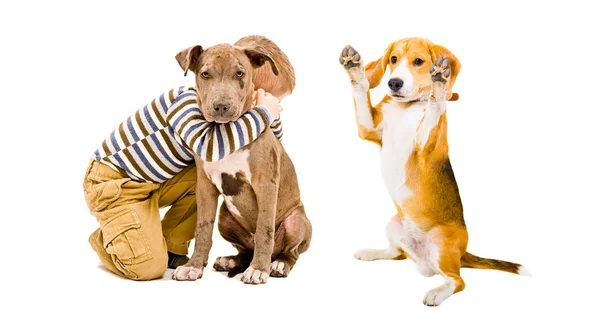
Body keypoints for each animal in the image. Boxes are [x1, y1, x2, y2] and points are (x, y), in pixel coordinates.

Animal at [340, 38, 528, 306]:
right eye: (393, 59)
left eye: (419, 61)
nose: (393, 83)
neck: (407, 107)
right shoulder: (369, 128)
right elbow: (361, 90)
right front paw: (355, 69)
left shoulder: (423, 146)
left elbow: (433, 108)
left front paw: (439, 85)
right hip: (394, 223)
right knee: (396, 253)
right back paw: (371, 252)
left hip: (441, 243)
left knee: (458, 281)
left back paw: (437, 293)